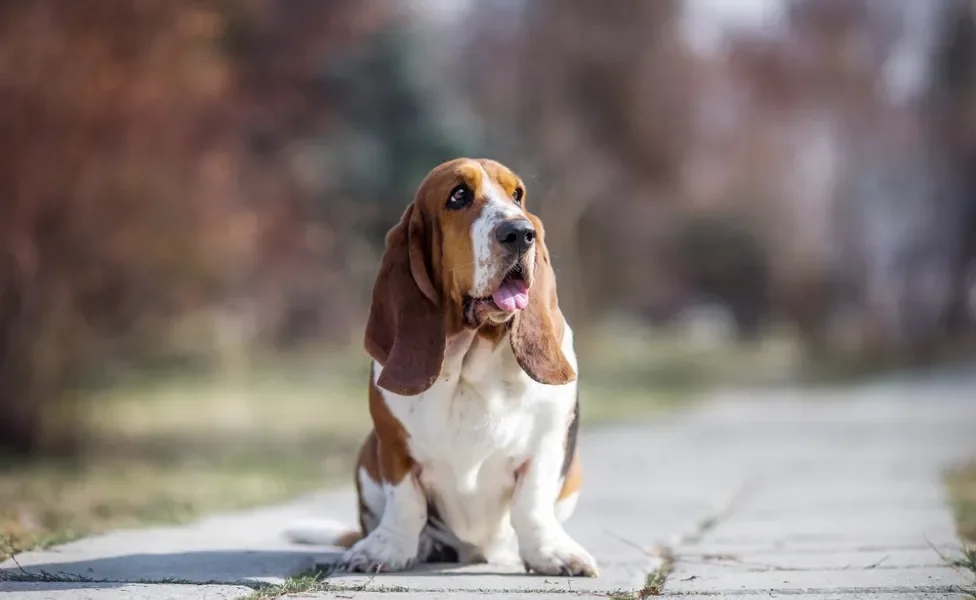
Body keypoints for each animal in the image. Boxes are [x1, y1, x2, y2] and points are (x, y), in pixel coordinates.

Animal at [286, 158, 600, 576]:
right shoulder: (393, 445)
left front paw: (552, 554)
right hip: (367, 455)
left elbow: (532, 505)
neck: (469, 363)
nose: (520, 232)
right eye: (458, 196)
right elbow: (406, 503)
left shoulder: (545, 446)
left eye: (517, 195)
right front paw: (385, 550)